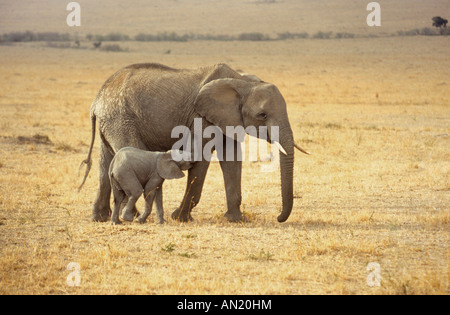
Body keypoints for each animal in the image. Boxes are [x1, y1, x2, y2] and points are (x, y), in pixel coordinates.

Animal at [79, 63, 306, 223]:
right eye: (262, 115)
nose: (278, 217)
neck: (242, 81)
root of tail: (96, 100)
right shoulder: (201, 116)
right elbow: (200, 158)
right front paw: (179, 218)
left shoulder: (228, 118)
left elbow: (231, 159)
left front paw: (235, 219)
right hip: (121, 118)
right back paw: (132, 215)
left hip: (111, 121)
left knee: (105, 165)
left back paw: (100, 218)